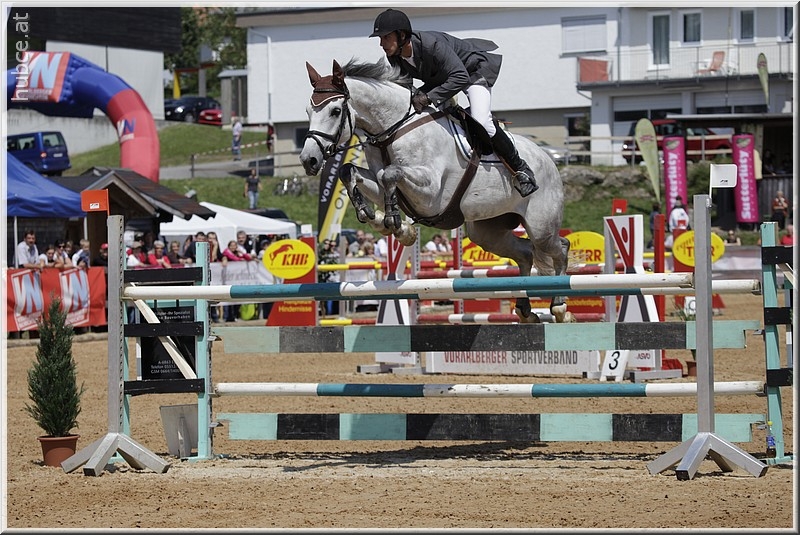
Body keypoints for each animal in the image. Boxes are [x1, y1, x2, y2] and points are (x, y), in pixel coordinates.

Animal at [300, 58, 573, 323]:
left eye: (335, 111)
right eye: (307, 112)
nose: (309, 160)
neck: (392, 130)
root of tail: (548, 159)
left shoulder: (430, 194)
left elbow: (389, 173)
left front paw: (397, 224)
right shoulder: (392, 186)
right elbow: (351, 171)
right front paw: (377, 218)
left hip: (541, 228)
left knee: (560, 247)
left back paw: (559, 307)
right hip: (487, 232)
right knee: (525, 253)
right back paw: (525, 309)